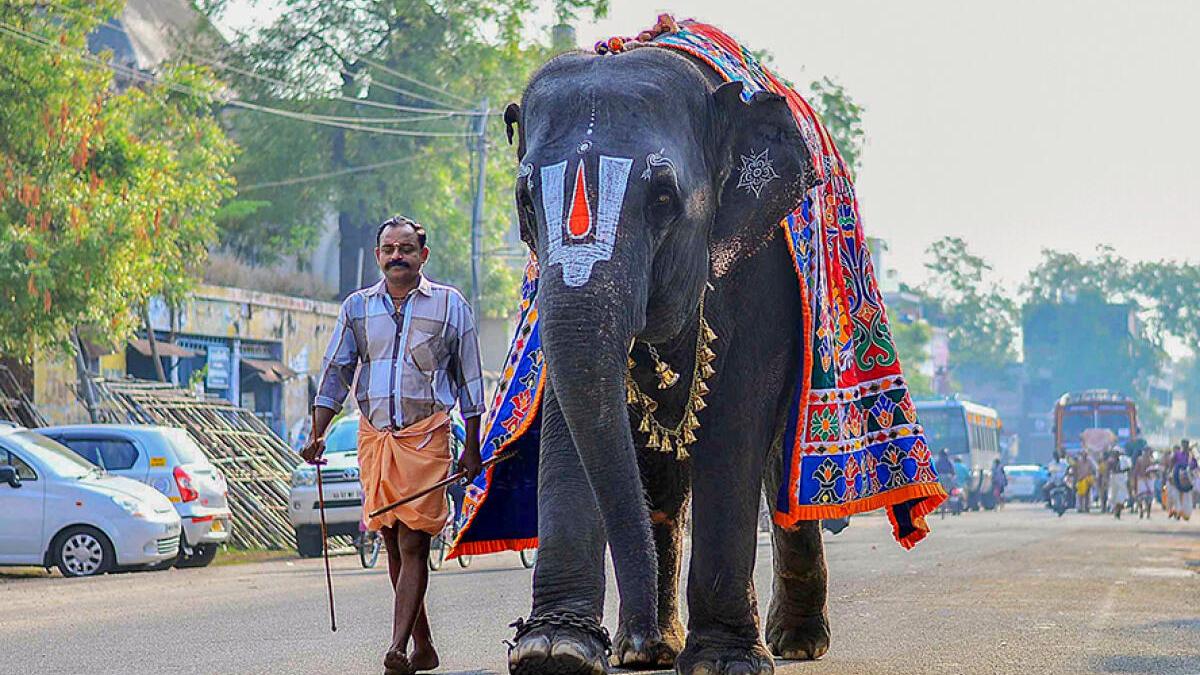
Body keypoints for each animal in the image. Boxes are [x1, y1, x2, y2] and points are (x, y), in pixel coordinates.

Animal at [502, 45, 832, 675]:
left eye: (662, 198)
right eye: (524, 201)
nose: (617, 638)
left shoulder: (763, 268)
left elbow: (737, 413)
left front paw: (726, 662)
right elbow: (567, 411)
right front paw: (556, 650)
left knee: (781, 464)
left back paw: (797, 644)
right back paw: (648, 650)